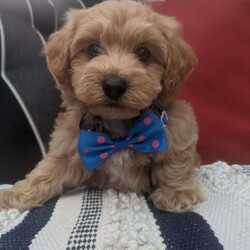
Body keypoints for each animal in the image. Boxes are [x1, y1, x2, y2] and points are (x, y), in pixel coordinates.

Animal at [0, 1, 203, 213]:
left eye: (144, 53)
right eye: (93, 49)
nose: (114, 85)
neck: (118, 127)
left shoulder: (177, 129)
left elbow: (173, 162)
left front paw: (177, 193)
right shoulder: (69, 143)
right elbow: (48, 169)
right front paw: (16, 195)